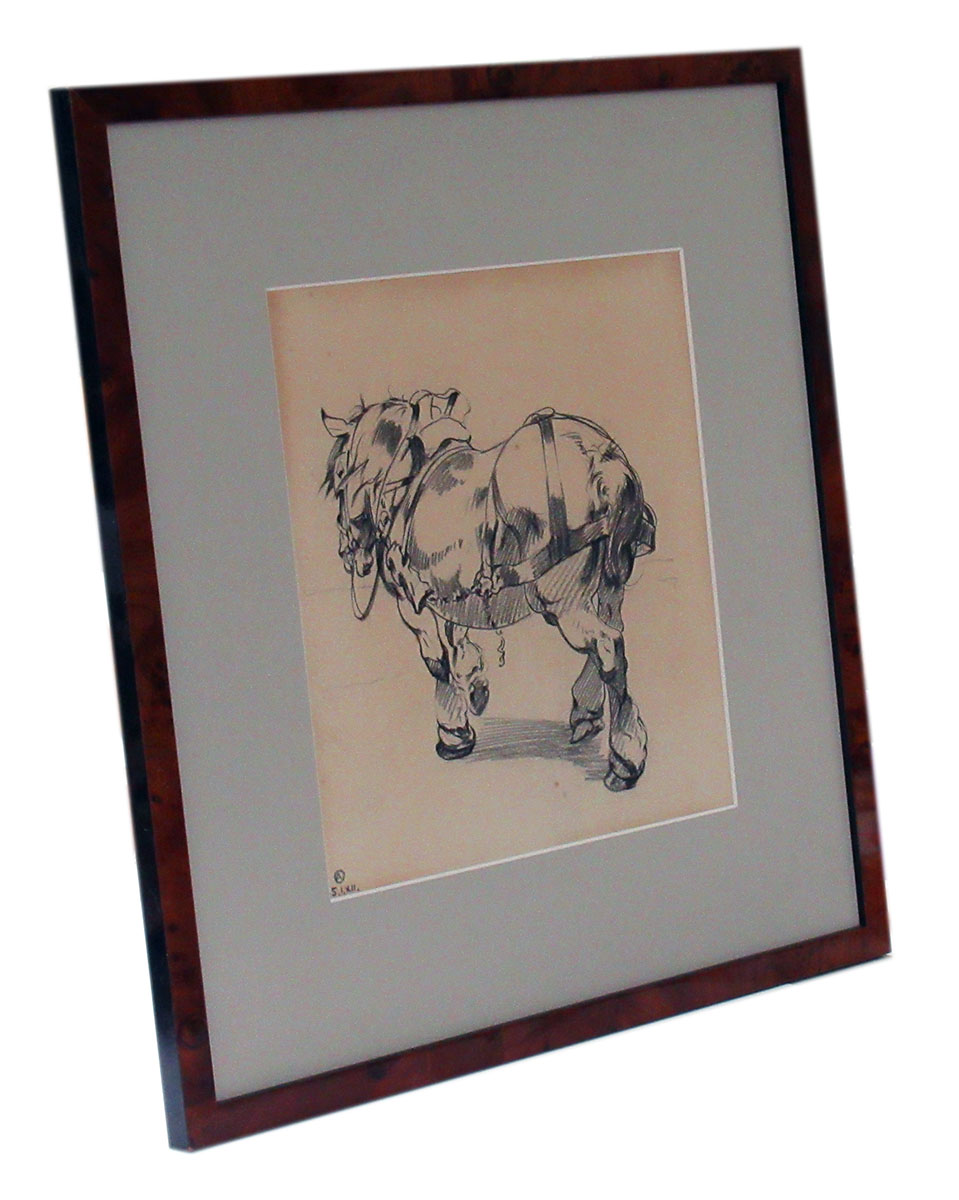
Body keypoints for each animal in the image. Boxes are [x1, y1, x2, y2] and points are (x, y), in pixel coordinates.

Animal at [321, 388, 656, 791]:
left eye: (340, 476)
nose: (348, 552)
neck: (405, 474)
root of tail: (605, 465)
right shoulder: (451, 594)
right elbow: (459, 646)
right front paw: (475, 687)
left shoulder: (413, 602)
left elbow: (437, 661)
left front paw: (453, 733)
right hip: (608, 583)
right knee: (614, 632)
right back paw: (587, 713)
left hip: (560, 599)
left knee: (607, 646)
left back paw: (625, 760)